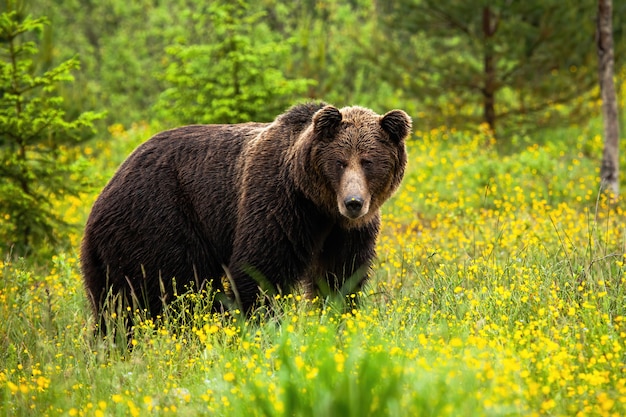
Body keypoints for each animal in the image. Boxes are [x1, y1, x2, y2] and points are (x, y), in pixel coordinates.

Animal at [79, 101, 410, 328]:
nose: (354, 202)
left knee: (113, 302)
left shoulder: (347, 231)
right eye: (340, 162)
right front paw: (261, 324)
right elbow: (261, 269)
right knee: (171, 290)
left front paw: (337, 318)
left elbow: (341, 275)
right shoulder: (279, 203)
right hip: (160, 221)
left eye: (368, 162)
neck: (318, 205)